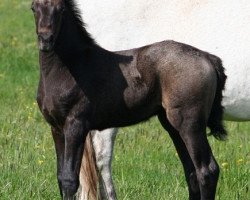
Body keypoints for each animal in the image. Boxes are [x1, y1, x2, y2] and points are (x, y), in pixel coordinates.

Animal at [30, 0, 227, 199]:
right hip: (172, 125)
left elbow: (70, 179)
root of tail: (206, 57)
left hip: (190, 123)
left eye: (61, 9)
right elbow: (61, 177)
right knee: (192, 172)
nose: (45, 40)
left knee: (207, 170)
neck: (69, 67)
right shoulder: (56, 128)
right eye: (33, 8)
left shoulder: (76, 125)